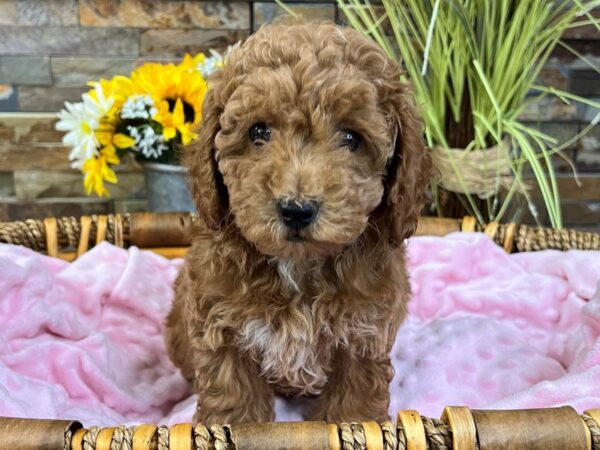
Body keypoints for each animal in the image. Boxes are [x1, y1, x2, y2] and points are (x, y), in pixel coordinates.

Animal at [166, 18, 432, 426]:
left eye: (351, 137)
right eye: (258, 131)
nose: (296, 209)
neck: (299, 267)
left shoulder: (363, 333)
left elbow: (354, 400)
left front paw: (353, 425)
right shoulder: (221, 326)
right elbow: (233, 395)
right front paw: (232, 425)